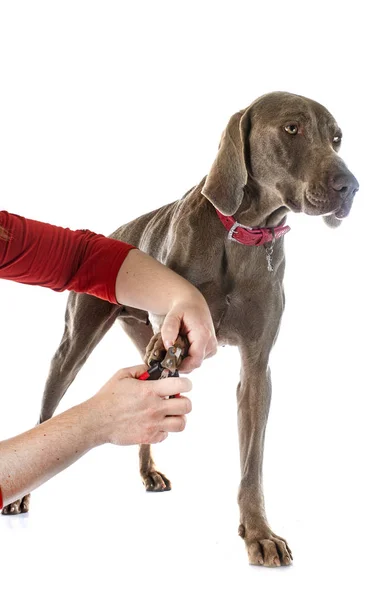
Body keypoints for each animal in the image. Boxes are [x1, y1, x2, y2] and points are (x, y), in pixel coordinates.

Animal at [2, 90, 358, 568]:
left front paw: (259, 533)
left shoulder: (257, 368)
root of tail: (116, 233)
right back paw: (21, 496)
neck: (242, 234)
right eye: (292, 128)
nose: (350, 186)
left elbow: (252, 463)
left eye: (337, 138)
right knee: (48, 408)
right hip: (73, 344)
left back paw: (149, 471)